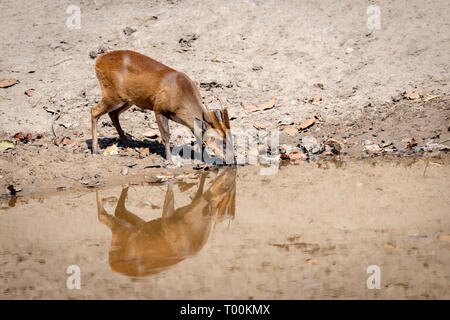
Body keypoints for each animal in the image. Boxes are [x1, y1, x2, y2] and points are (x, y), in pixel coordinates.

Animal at [90, 51, 234, 161]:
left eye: (232, 140)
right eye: (221, 142)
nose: (233, 160)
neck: (181, 93)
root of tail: (98, 60)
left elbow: (199, 137)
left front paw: (206, 159)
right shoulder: (158, 108)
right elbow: (166, 136)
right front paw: (169, 159)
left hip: (129, 99)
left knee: (113, 114)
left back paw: (128, 143)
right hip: (113, 93)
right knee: (94, 110)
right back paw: (95, 150)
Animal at [96, 169, 237, 276]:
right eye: (226, 187)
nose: (232, 171)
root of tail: (112, 265)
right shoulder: (169, 222)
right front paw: (170, 176)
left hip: (133, 227)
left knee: (118, 211)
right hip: (124, 232)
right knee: (103, 216)